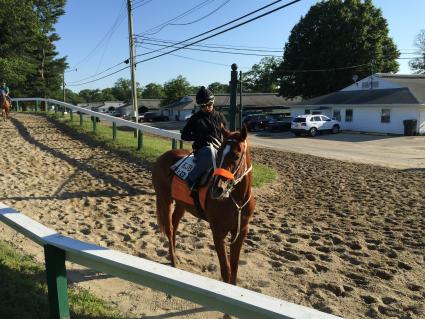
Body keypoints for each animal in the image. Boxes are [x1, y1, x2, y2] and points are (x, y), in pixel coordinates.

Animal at [151, 126, 253, 286]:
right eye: (218, 155)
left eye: (236, 156)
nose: (217, 189)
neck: (237, 200)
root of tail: (162, 158)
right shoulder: (218, 231)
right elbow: (226, 269)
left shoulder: (241, 231)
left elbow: (234, 267)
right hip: (165, 200)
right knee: (170, 229)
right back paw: (173, 261)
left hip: (181, 204)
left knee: (174, 226)